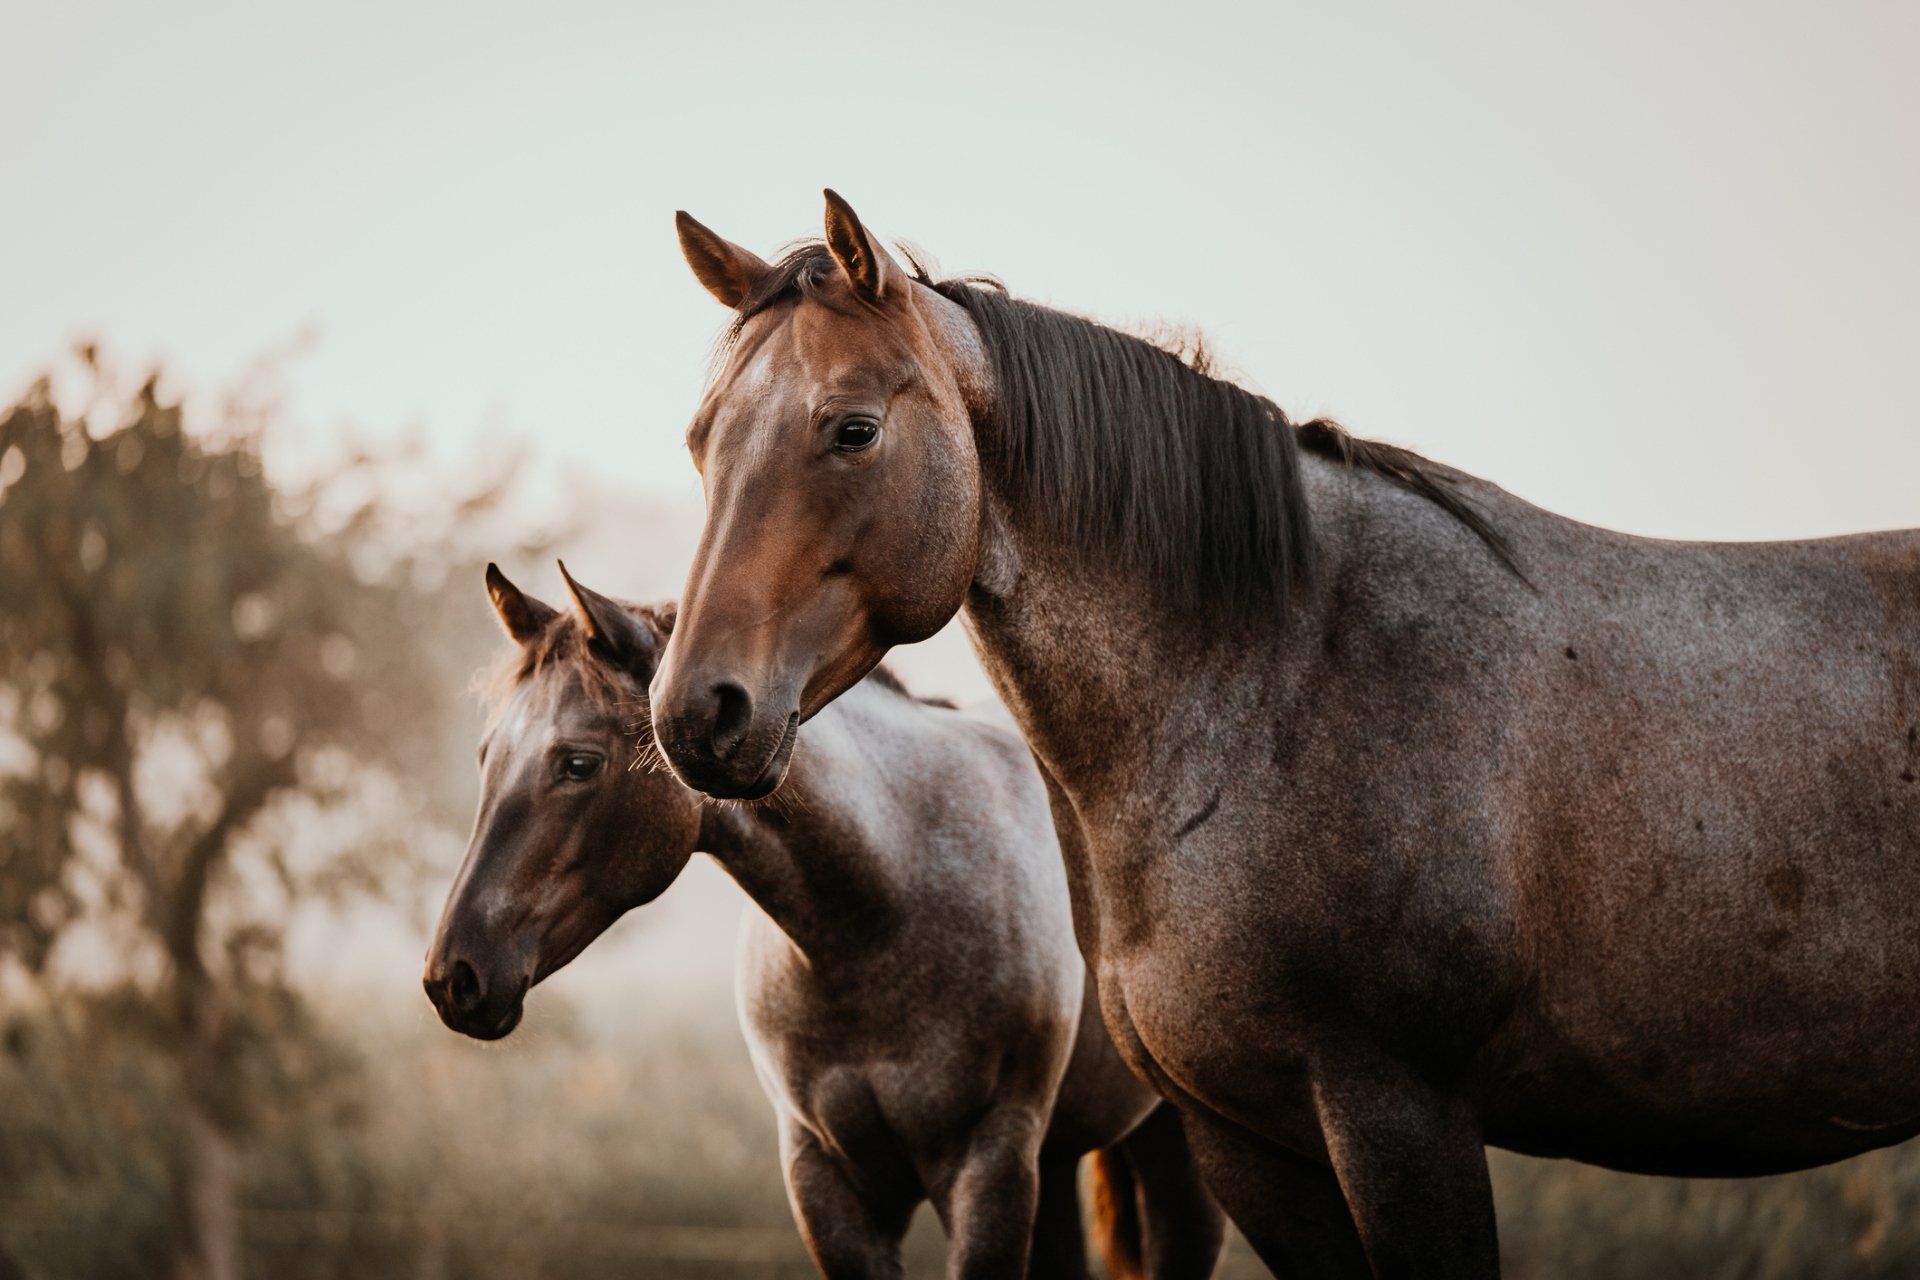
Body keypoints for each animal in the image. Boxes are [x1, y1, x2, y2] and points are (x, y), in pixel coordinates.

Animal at [422, 563, 1226, 1279]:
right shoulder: (826, 1180)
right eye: (486, 755)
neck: (885, 915)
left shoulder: (988, 1166)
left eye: (579, 763)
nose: (452, 977)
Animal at [645, 191, 1920, 1278]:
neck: (1279, 682)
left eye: (853, 429)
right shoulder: (1245, 1136)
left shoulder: (1401, 1112)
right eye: (701, 441)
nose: (696, 711)